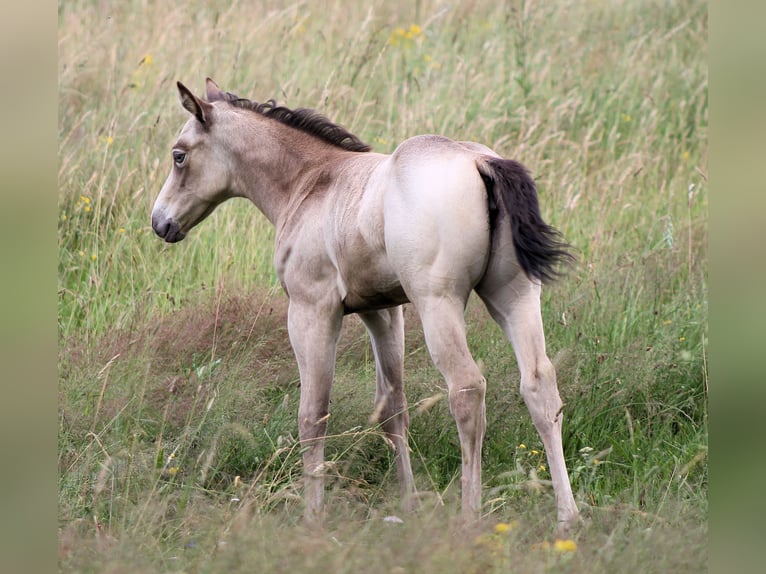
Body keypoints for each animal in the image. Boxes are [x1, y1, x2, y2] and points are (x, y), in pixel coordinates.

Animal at [152, 77, 584, 536]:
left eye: (179, 155)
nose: (159, 222)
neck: (310, 183)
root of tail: (480, 161)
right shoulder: (383, 312)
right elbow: (392, 409)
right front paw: (408, 503)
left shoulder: (311, 311)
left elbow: (313, 415)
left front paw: (313, 515)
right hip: (514, 296)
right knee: (539, 386)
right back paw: (568, 517)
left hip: (439, 304)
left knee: (467, 389)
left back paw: (470, 514)